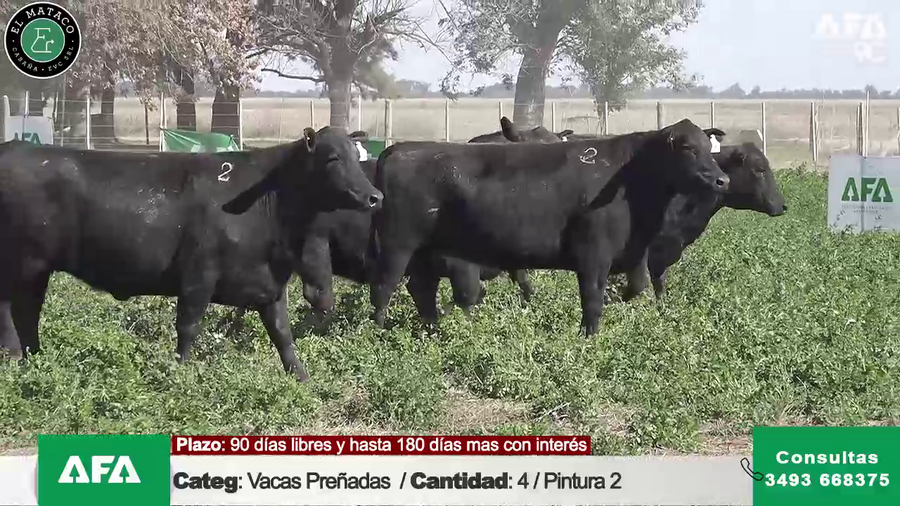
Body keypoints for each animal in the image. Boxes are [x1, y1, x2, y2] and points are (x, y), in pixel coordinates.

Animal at [0, 127, 383, 383]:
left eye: (357, 157)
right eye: (333, 158)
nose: (375, 196)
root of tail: (14, 147)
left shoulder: (269, 284)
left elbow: (282, 332)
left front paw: (300, 376)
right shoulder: (199, 273)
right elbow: (188, 326)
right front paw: (179, 371)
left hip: (37, 269)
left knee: (28, 310)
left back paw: (35, 358)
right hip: (19, 264)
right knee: (9, 309)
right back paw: (16, 356)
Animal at [366, 118, 730, 336]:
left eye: (709, 148)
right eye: (688, 148)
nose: (722, 180)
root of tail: (399, 148)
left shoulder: (633, 254)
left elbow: (636, 287)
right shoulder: (593, 254)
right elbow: (592, 298)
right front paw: (589, 336)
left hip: (425, 251)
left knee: (421, 289)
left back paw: (433, 329)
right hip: (398, 244)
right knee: (383, 287)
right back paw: (378, 333)